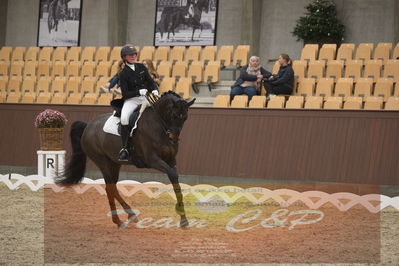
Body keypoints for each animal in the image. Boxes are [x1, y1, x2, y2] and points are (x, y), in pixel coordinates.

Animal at [55, 92, 196, 228]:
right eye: (174, 116)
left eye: (185, 117)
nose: (173, 139)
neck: (158, 124)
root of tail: (88, 126)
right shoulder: (153, 160)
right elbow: (173, 175)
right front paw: (181, 214)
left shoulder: (171, 161)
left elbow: (175, 180)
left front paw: (184, 220)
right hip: (102, 161)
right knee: (110, 187)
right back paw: (123, 218)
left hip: (114, 163)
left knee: (111, 188)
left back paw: (125, 217)